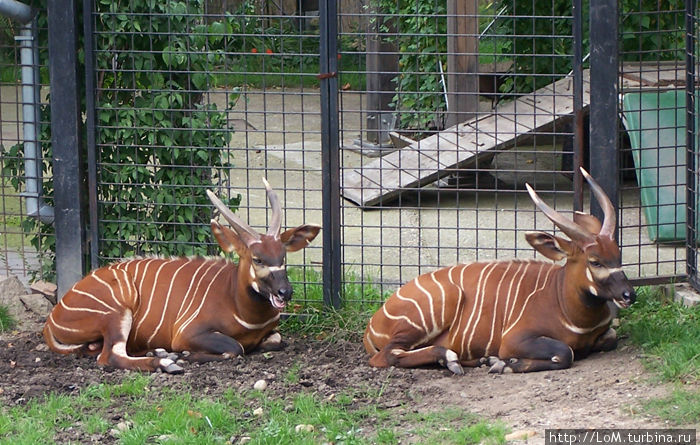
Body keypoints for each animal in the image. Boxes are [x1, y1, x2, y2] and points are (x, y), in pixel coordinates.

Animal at [45, 180, 324, 372]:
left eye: (283, 256)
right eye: (257, 259)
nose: (285, 292)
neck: (239, 306)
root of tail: (52, 317)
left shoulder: (270, 333)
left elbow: (276, 340)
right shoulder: (188, 333)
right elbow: (236, 348)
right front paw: (185, 355)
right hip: (116, 313)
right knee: (109, 356)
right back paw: (167, 362)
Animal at [364, 168, 636, 372]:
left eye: (617, 255)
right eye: (595, 261)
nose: (629, 295)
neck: (564, 303)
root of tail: (372, 324)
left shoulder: (605, 333)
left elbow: (611, 338)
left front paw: (494, 361)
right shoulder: (514, 339)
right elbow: (565, 353)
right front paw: (503, 364)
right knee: (385, 356)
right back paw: (451, 359)